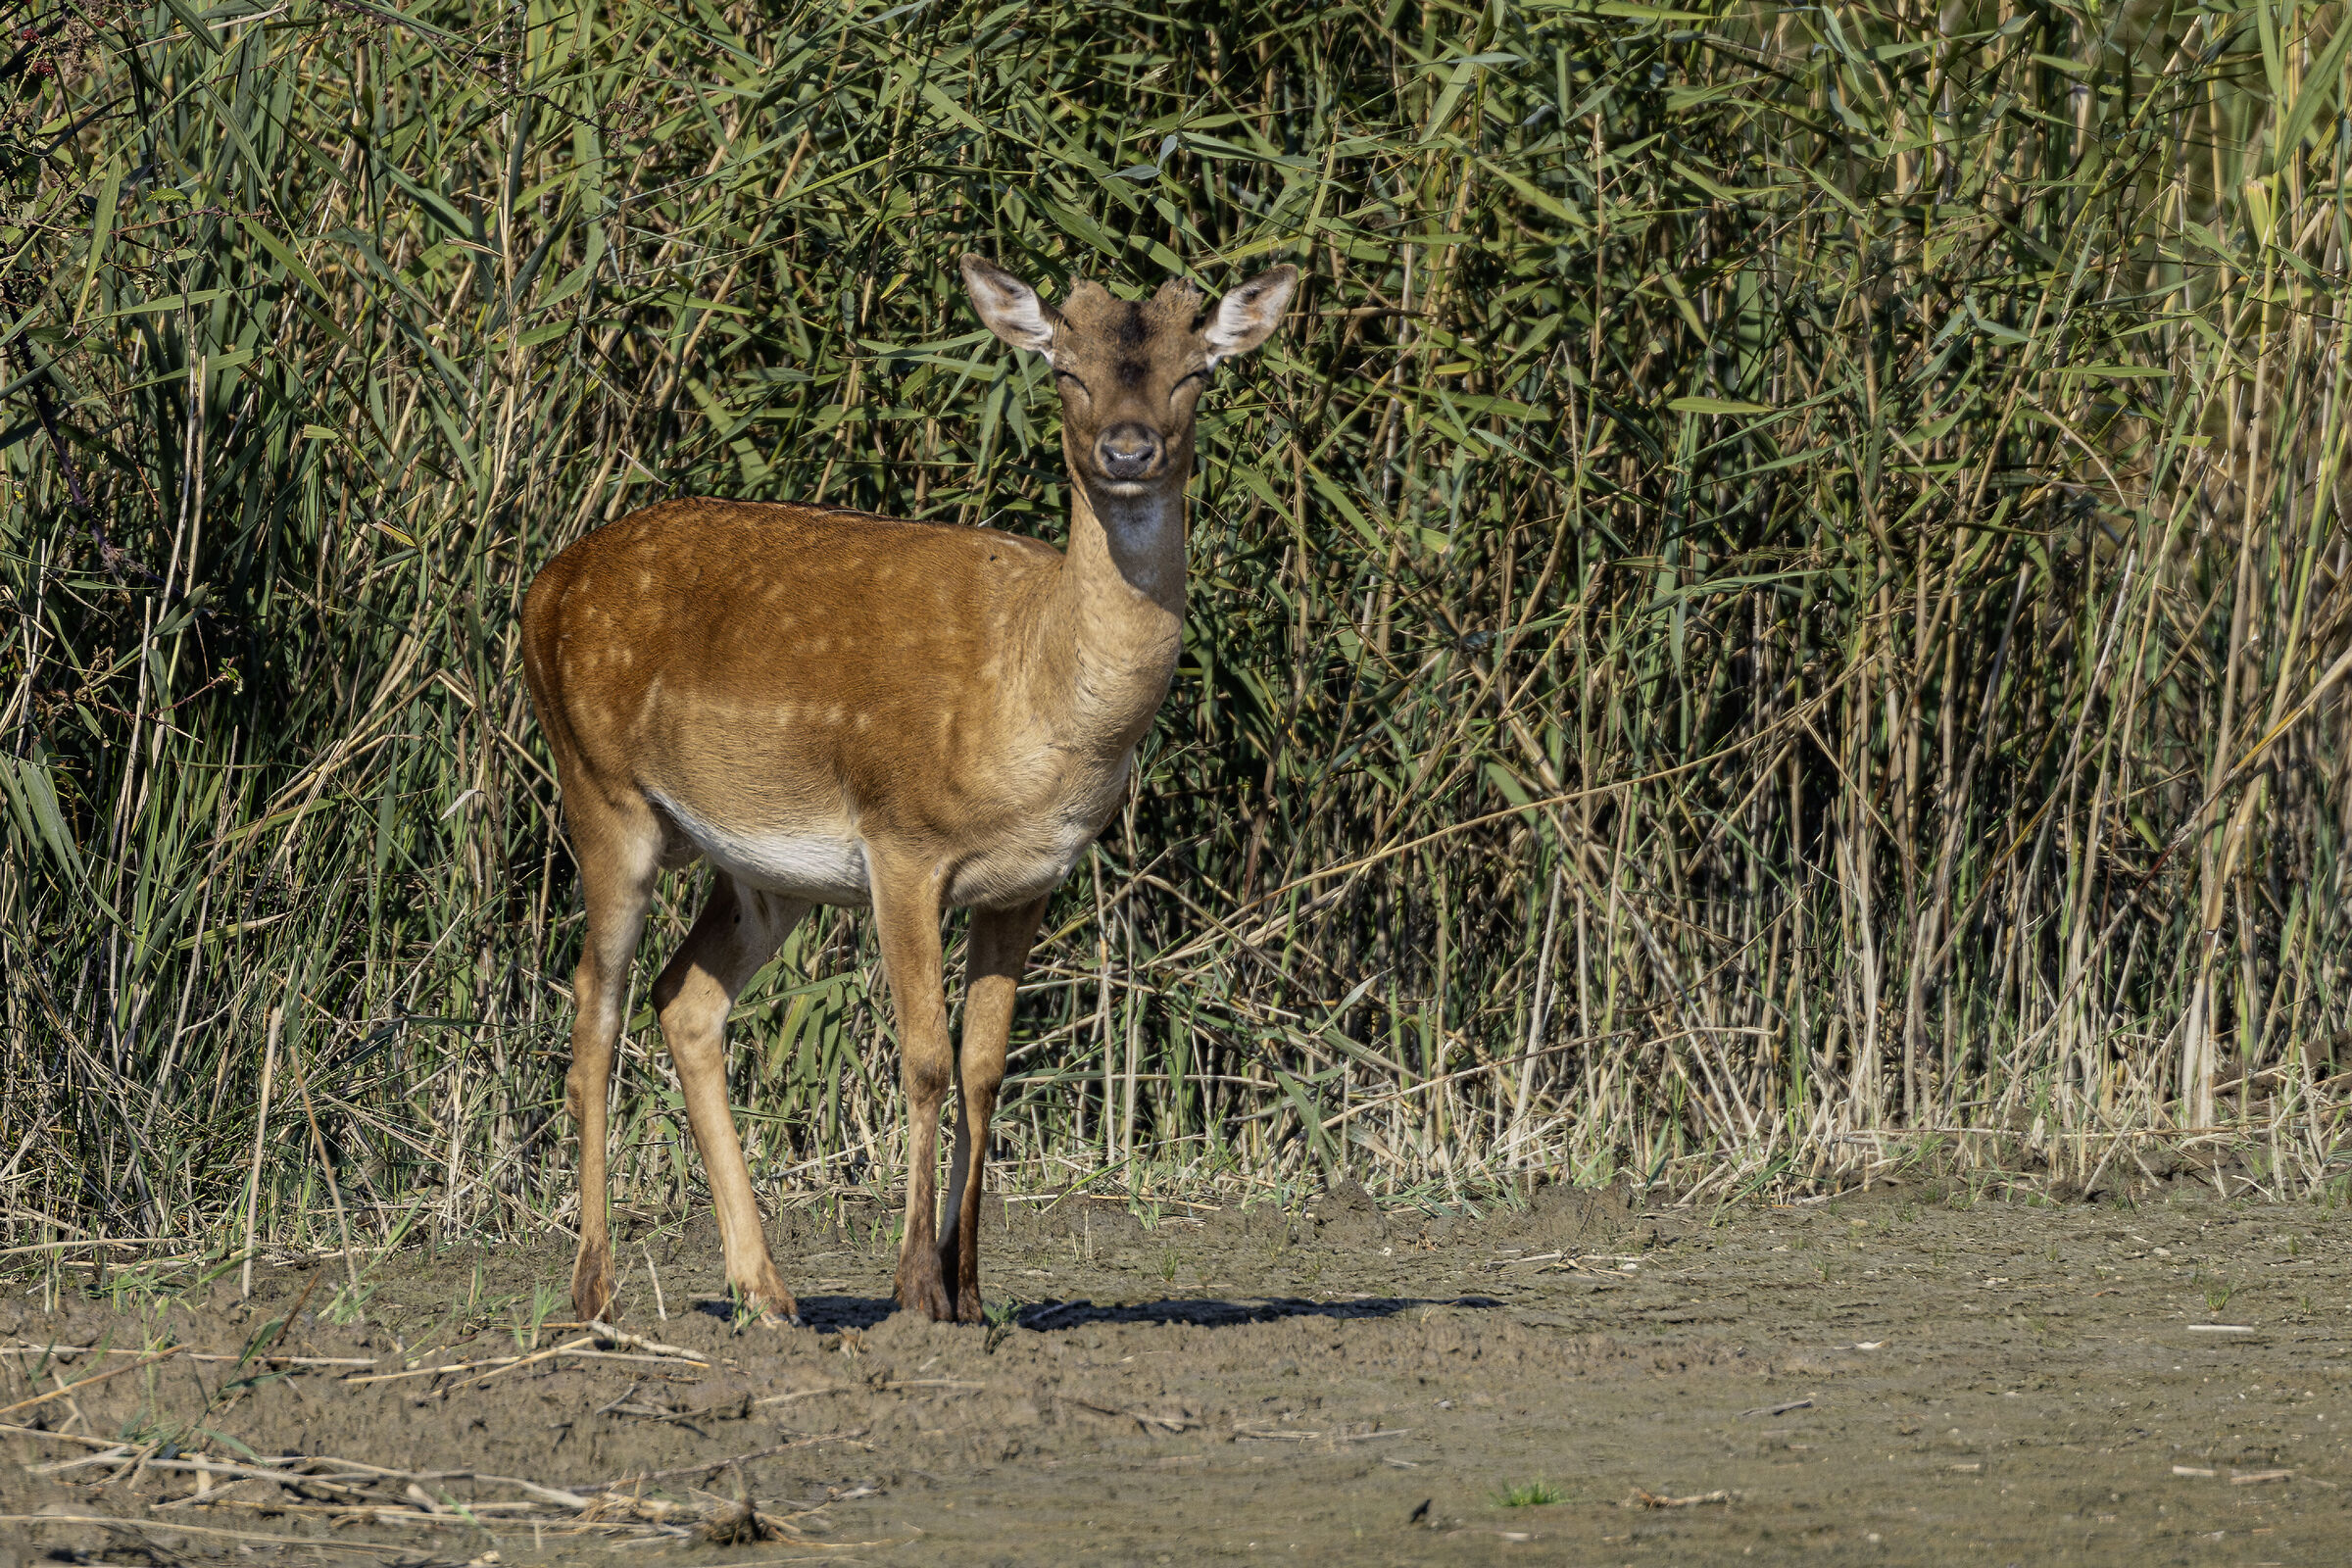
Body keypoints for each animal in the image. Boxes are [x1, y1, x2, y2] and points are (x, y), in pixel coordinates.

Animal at [519, 255, 1297, 1326]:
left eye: (1194, 372)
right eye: (1066, 369)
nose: (1128, 448)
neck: (1036, 698)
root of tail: (540, 588)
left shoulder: (1028, 881)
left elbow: (984, 1068)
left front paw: (970, 1291)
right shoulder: (902, 841)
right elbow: (925, 1058)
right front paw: (915, 1291)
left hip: (760, 872)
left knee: (684, 1002)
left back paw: (767, 1292)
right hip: (600, 793)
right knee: (594, 1008)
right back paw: (592, 1294)